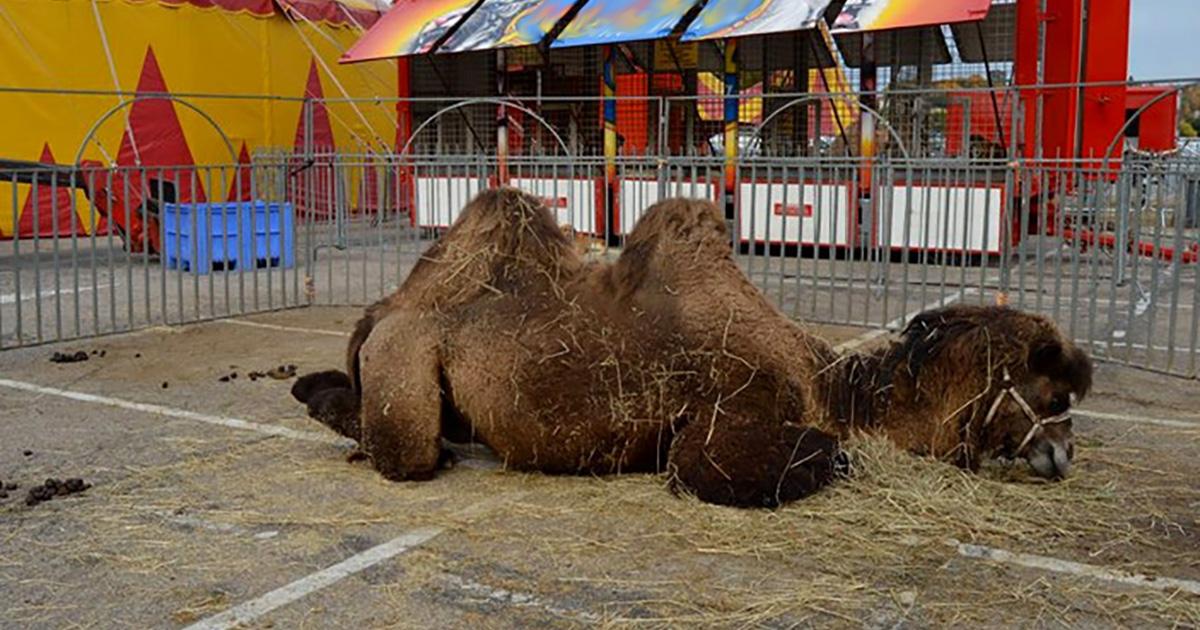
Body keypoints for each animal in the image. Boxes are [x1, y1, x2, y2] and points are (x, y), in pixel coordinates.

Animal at [295, 189, 1094, 508]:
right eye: (1054, 395)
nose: (1063, 455)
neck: (828, 388)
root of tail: (386, 306)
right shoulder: (723, 419)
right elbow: (777, 458)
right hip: (406, 357)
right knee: (408, 448)